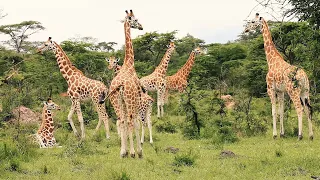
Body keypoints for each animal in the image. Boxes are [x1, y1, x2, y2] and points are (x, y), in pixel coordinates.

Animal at [105, 9, 144, 158]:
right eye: (135, 19)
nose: (141, 27)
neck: (129, 63)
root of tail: (119, 85)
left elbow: (126, 123)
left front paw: (126, 149)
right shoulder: (138, 97)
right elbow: (136, 122)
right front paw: (139, 151)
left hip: (116, 100)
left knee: (122, 120)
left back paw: (123, 152)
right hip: (129, 100)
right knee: (129, 120)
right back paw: (132, 152)